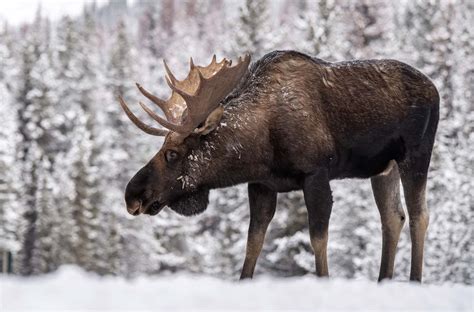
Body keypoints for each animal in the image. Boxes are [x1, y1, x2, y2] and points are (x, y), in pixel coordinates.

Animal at [119, 50, 440, 282]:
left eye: (172, 153)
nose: (131, 195)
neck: (261, 146)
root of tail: (435, 89)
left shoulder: (316, 174)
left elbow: (318, 240)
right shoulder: (261, 185)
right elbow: (253, 244)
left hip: (416, 154)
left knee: (419, 216)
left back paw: (414, 281)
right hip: (383, 168)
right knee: (393, 218)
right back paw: (383, 281)